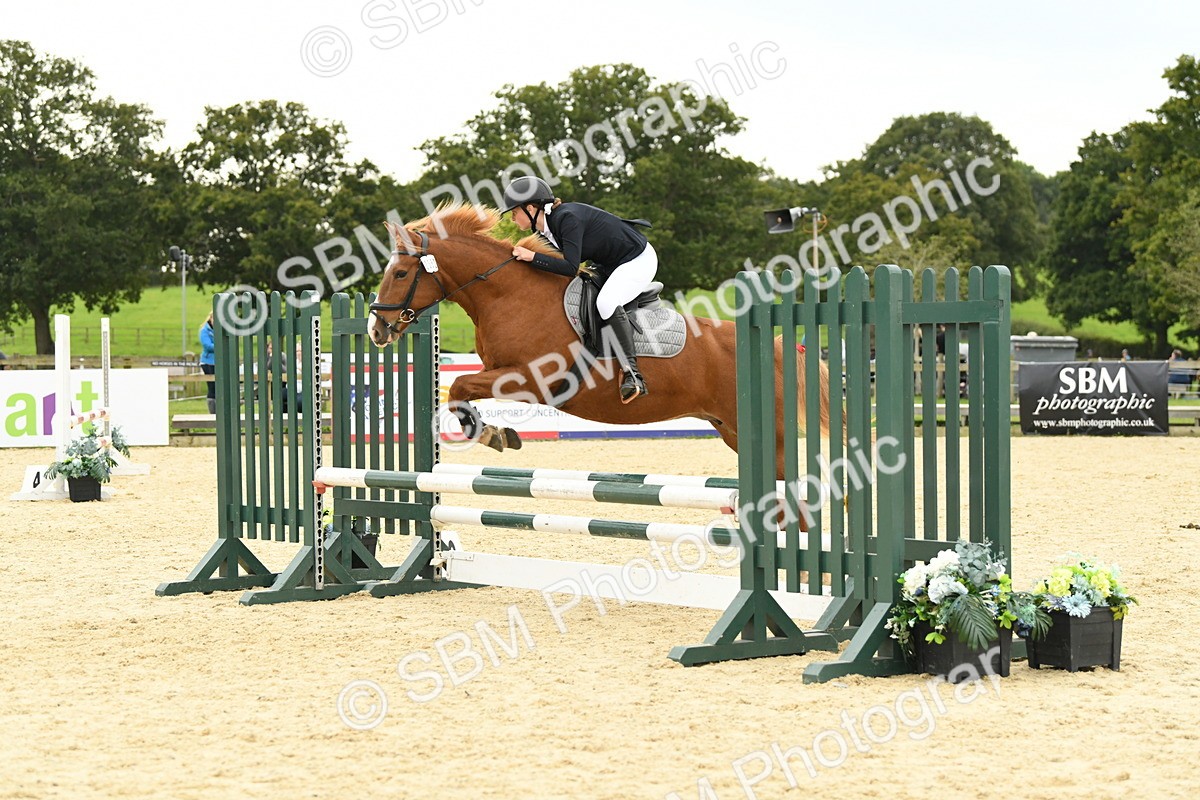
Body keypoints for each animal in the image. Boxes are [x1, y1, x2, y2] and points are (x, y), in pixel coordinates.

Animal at [367, 203, 831, 479]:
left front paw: (494, 435)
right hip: (732, 429)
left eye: (402, 274)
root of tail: (779, 346)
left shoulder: (530, 379)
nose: (376, 330)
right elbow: (460, 391)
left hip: (768, 432)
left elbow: (462, 386)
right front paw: (496, 433)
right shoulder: (500, 371)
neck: (506, 294)